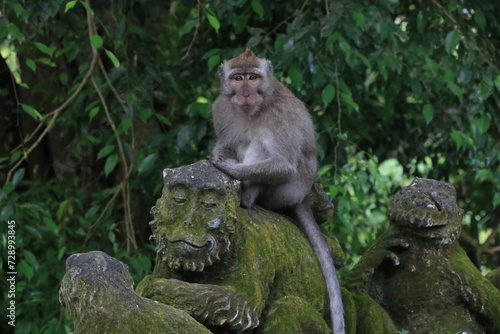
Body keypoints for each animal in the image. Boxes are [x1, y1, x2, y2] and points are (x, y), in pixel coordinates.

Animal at [210, 49, 344, 334]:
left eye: (253, 77)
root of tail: (303, 196)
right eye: (237, 78)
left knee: (261, 143)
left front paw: (230, 169)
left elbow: (283, 165)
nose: (245, 93)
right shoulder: (221, 109)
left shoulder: (279, 116)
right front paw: (221, 157)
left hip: (286, 191)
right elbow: (225, 143)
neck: (255, 108)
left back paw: (247, 198)